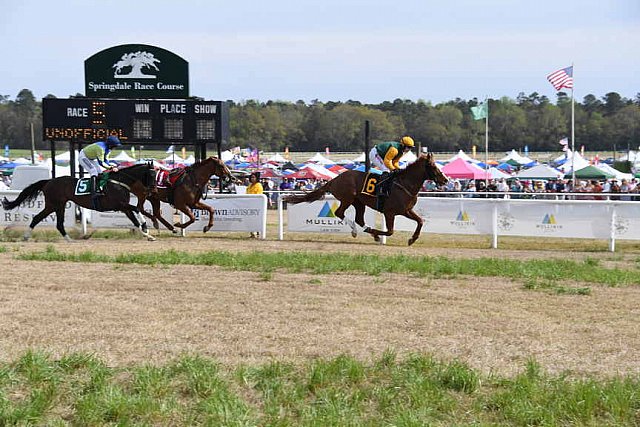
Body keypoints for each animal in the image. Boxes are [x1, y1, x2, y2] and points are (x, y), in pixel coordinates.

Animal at [2, 162, 158, 241]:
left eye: (156, 174)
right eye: (151, 174)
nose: (154, 190)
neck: (119, 182)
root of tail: (49, 181)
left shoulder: (124, 207)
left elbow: (136, 220)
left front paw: (147, 233)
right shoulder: (120, 204)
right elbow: (136, 209)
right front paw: (147, 229)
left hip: (58, 205)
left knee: (54, 223)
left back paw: (67, 239)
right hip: (54, 204)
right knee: (40, 219)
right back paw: (27, 236)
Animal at [282, 154, 448, 247]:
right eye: (433, 167)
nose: (445, 180)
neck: (404, 184)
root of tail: (334, 179)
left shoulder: (406, 210)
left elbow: (420, 221)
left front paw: (412, 239)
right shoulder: (389, 212)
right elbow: (390, 231)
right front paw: (378, 235)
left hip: (359, 203)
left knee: (359, 219)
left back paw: (367, 231)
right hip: (347, 198)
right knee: (340, 213)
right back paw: (356, 231)